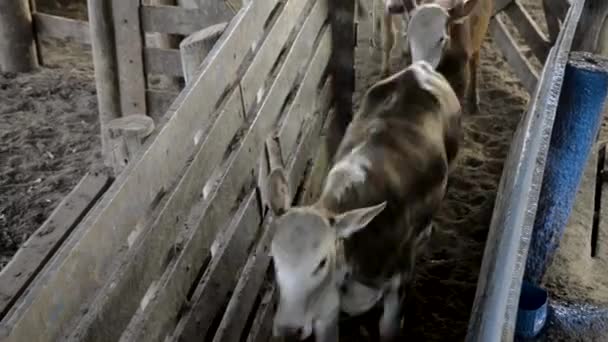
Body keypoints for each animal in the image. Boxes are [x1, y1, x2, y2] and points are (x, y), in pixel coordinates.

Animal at [268, 61, 464, 342]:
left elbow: (388, 328)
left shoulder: (399, 284)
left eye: (322, 262)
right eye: (274, 260)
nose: (288, 330)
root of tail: (418, 68)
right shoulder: (327, 309)